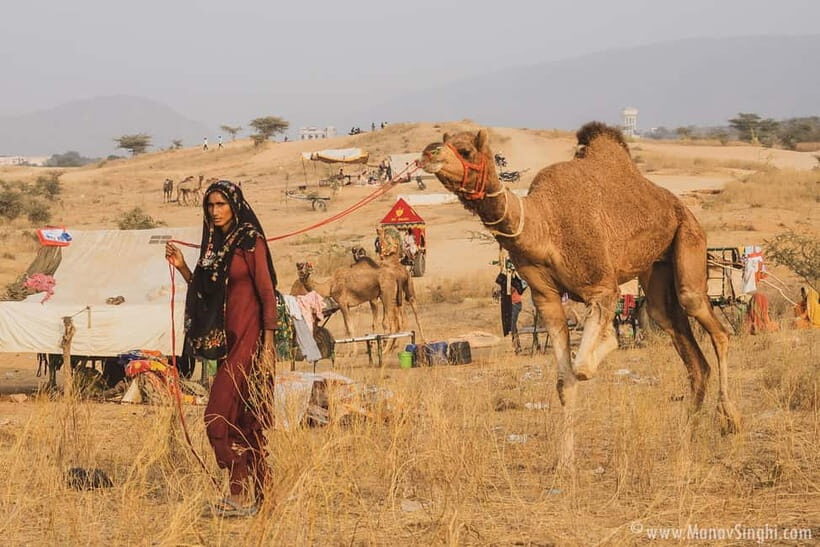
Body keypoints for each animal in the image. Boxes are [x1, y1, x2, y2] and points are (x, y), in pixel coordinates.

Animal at [419, 122, 740, 467]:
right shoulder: (546, 297)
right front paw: (565, 461)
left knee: (710, 321)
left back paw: (730, 419)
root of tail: (679, 206)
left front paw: (610, 340)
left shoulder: (602, 286)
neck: (543, 227)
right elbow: (564, 380)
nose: (428, 153)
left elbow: (582, 367)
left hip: (689, 238)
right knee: (679, 337)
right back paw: (686, 438)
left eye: (465, 150)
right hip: (656, 268)